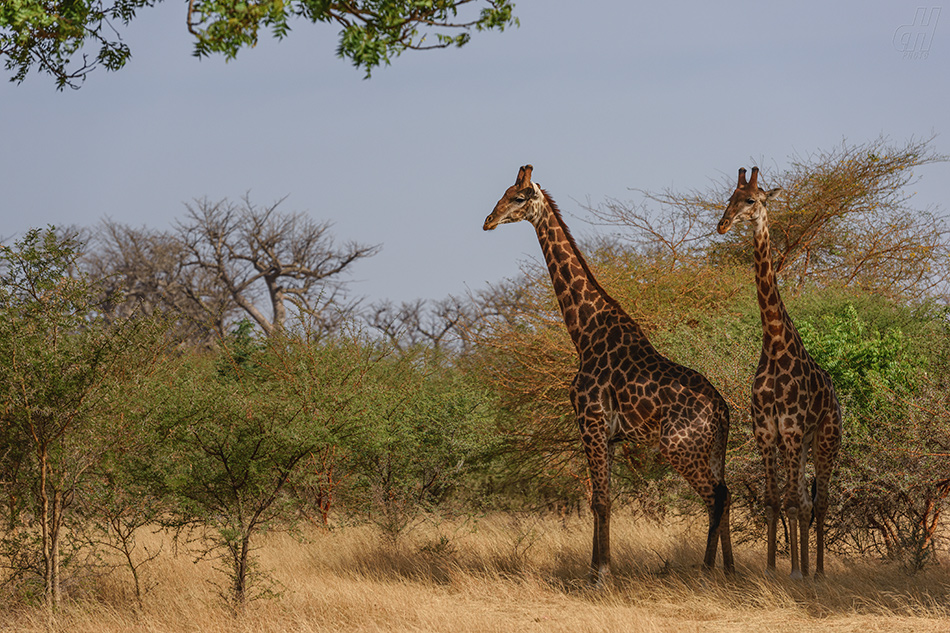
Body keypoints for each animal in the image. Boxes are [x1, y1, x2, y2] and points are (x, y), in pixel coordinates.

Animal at [716, 165, 844, 576]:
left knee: (818, 501)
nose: (722, 224)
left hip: (825, 439)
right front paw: (773, 569)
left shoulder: (789, 429)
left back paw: (816, 571)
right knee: (803, 499)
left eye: (751, 200)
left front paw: (795, 572)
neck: (773, 344)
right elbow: (773, 501)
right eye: (729, 198)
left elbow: (792, 502)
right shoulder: (766, 431)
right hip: (802, 444)